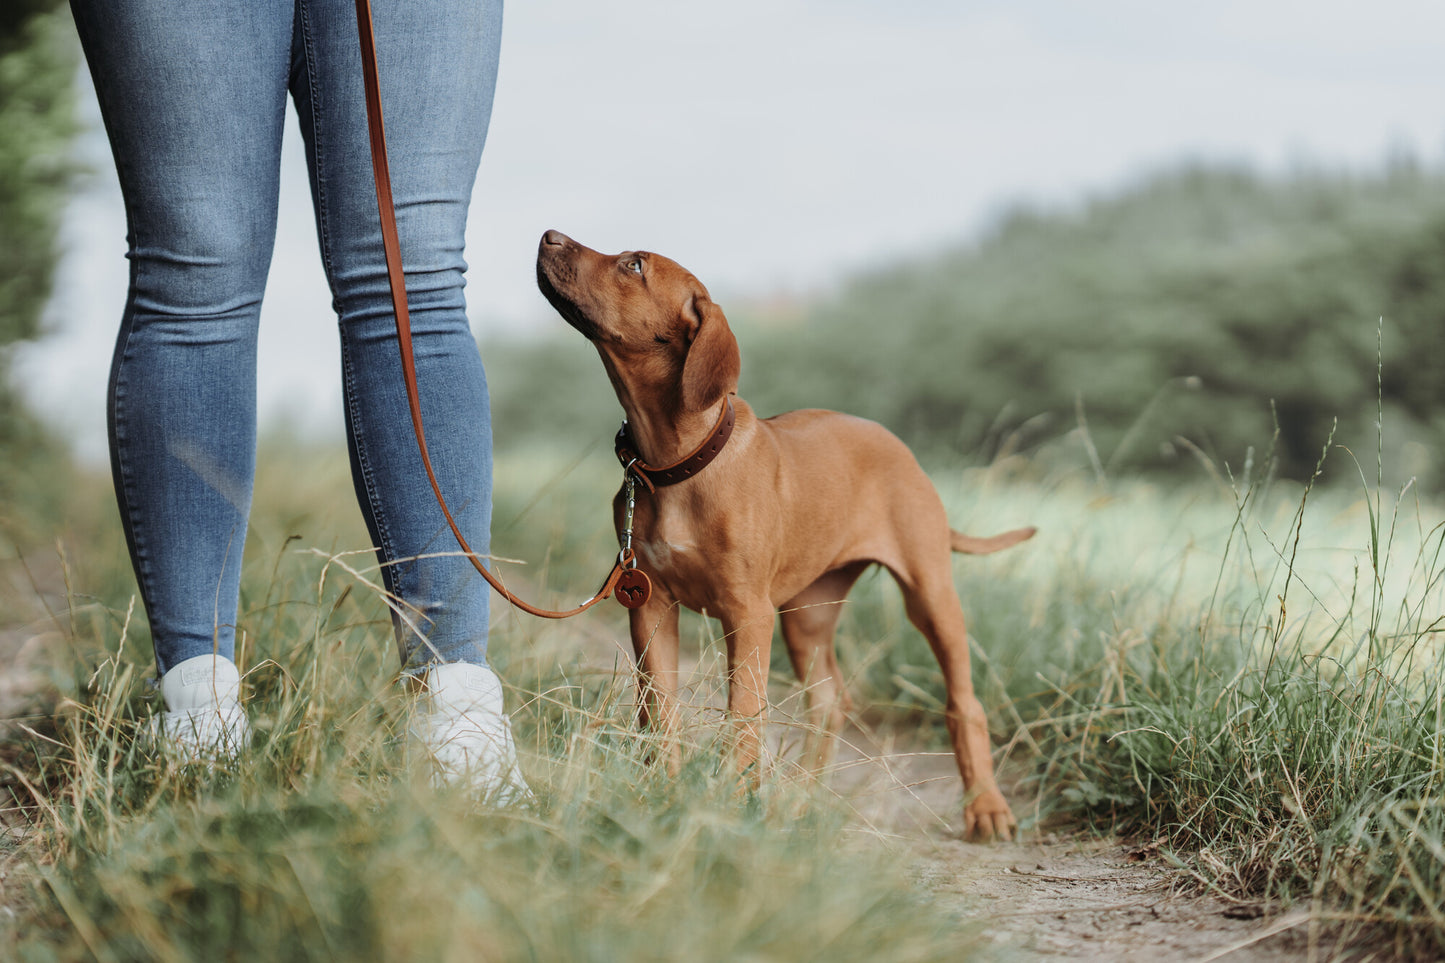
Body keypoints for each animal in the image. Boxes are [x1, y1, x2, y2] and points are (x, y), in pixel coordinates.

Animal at [537, 228, 1034, 838]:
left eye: (633, 265)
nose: (548, 236)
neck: (678, 462)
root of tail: (902, 449)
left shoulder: (747, 613)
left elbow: (744, 713)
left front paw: (728, 800)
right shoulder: (650, 605)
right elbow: (660, 710)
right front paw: (662, 795)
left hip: (929, 592)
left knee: (963, 700)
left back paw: (986, 807)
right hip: (808, 613)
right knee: (829, 702)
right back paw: (800, 800)